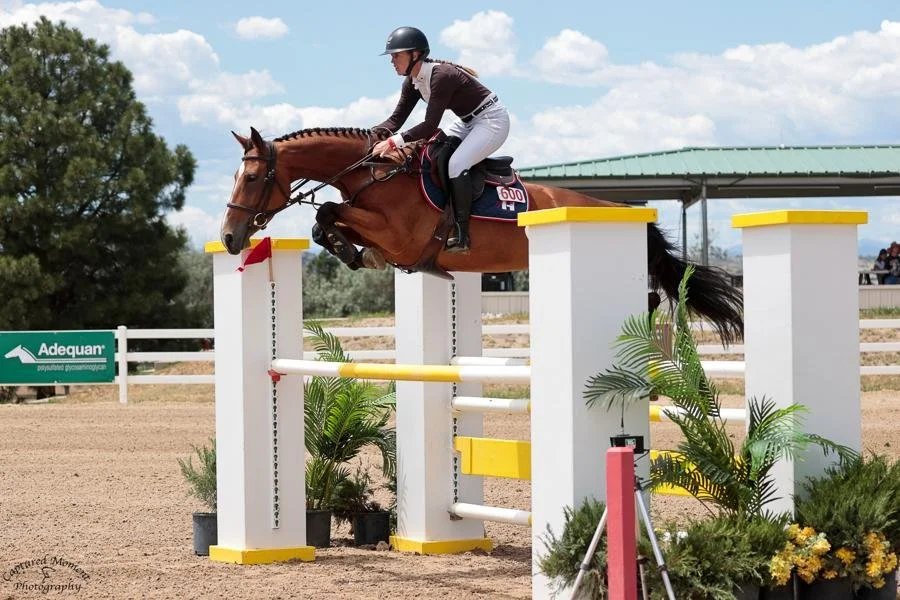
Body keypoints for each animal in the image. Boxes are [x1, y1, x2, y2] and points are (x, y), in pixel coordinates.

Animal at [220, 126, 743, 346]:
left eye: (253, 178)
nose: (228, 237)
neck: (376, 174)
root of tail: (622, 211)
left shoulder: (401, 235)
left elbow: (329, 210)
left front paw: (357, 253)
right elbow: (325, 221)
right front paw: (355, 253)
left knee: (650, 299)